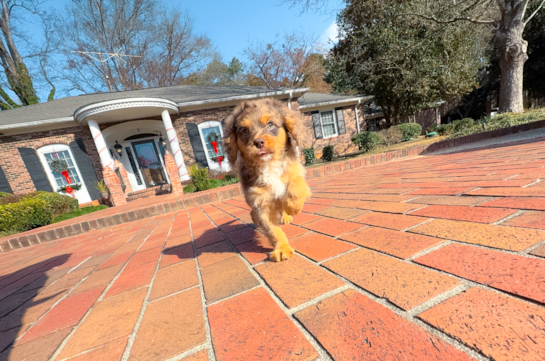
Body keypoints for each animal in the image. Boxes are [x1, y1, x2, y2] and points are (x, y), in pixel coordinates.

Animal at [224, 98, 310, 262]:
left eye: (270, 124)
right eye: (244, 131)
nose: (258, 142)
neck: (269, 165)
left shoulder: (296, 171)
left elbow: (297, 186)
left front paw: (292, 206)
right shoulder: (261, 203)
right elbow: (273, 231)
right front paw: (282, 249)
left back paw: (286, 215)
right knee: (254, 214)